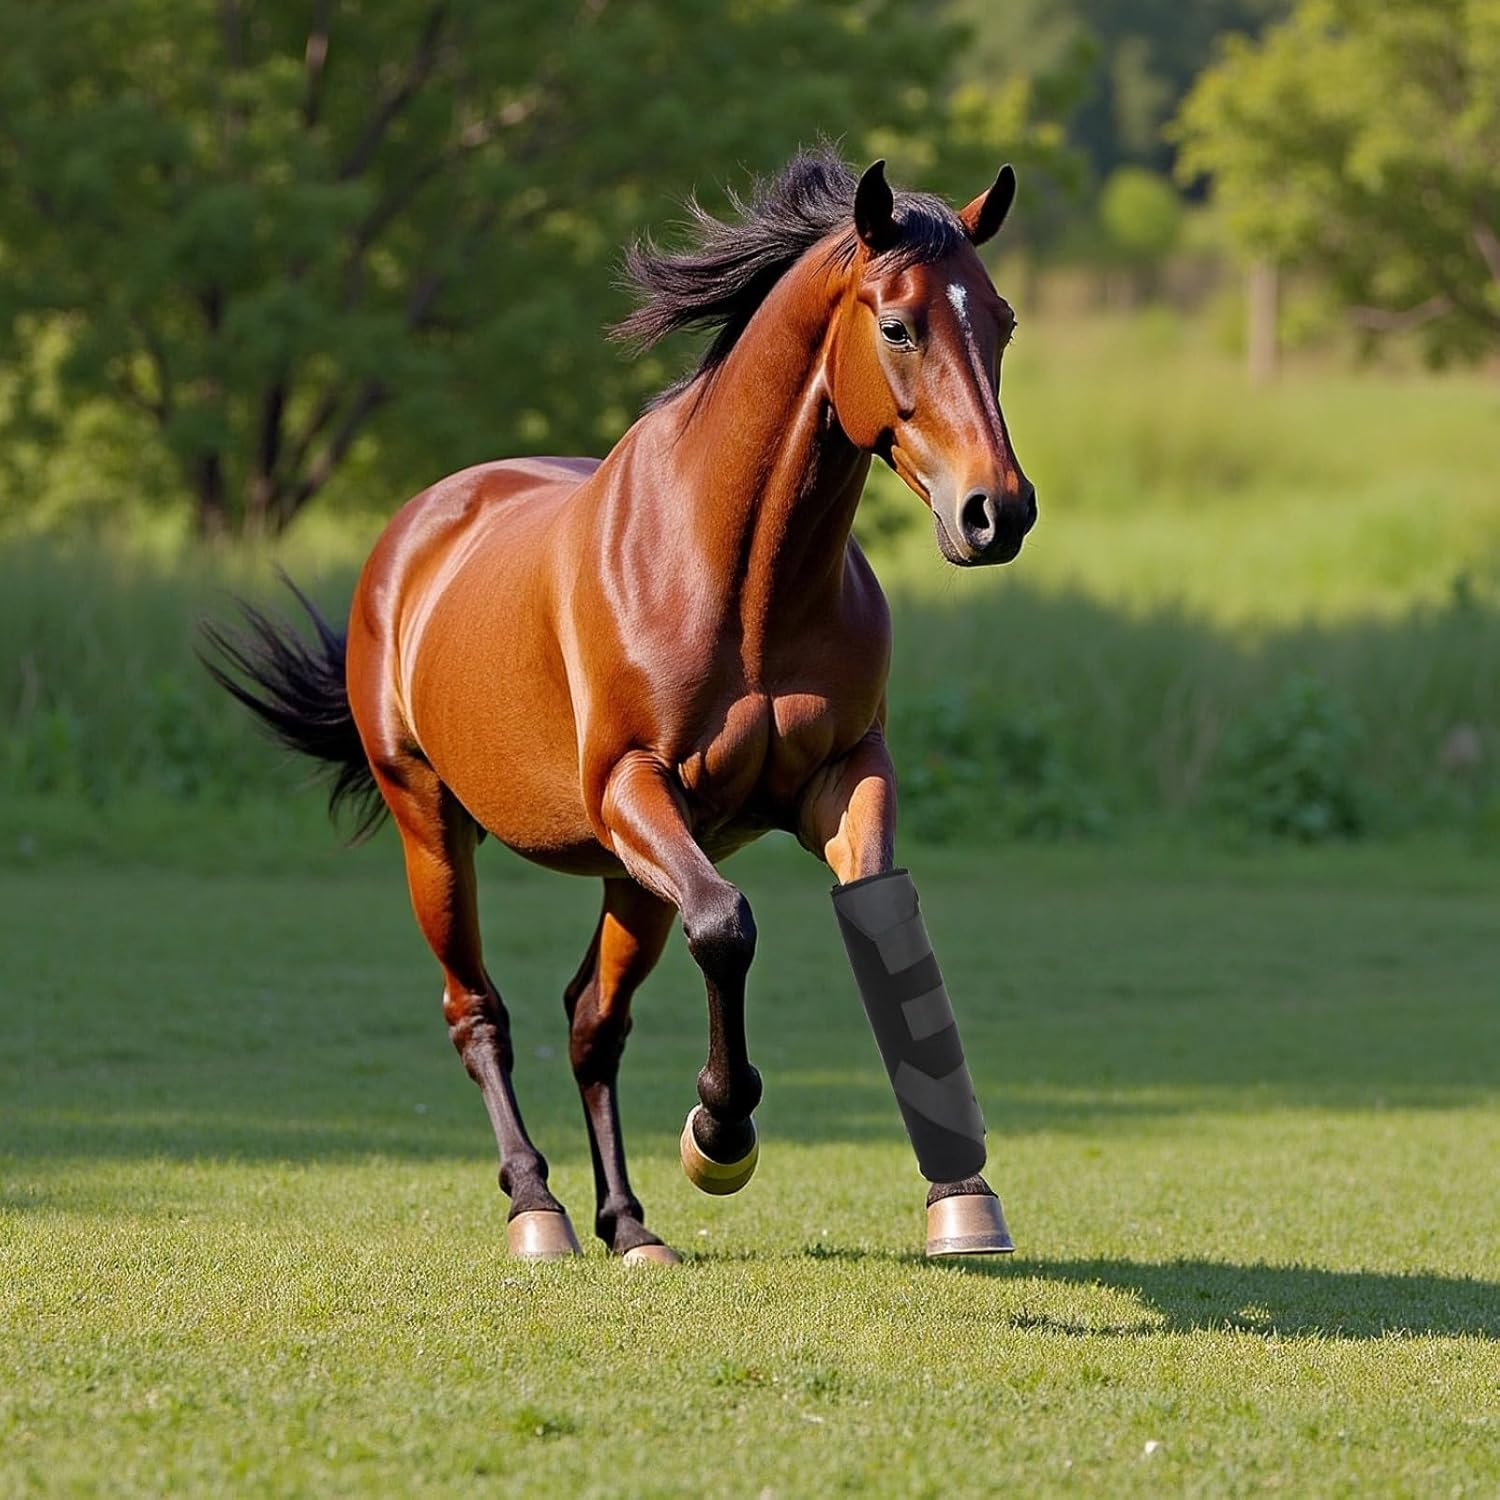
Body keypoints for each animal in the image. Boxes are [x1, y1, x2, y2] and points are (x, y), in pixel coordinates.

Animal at [206, 150, 1036, 1265]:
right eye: (899, 326)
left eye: (1001, 320)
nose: (998, 512)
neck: (742, 576)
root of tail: (414, 534)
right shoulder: (633, 788)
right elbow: (727, 926)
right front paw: (719, 1135)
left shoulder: (843, 776)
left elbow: (878, 921)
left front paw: (962, 1195)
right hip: (436, 828)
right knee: (479, 1011)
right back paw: (539, 1210)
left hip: (631, 876)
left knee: (590, 1019)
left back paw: (629, 1223)